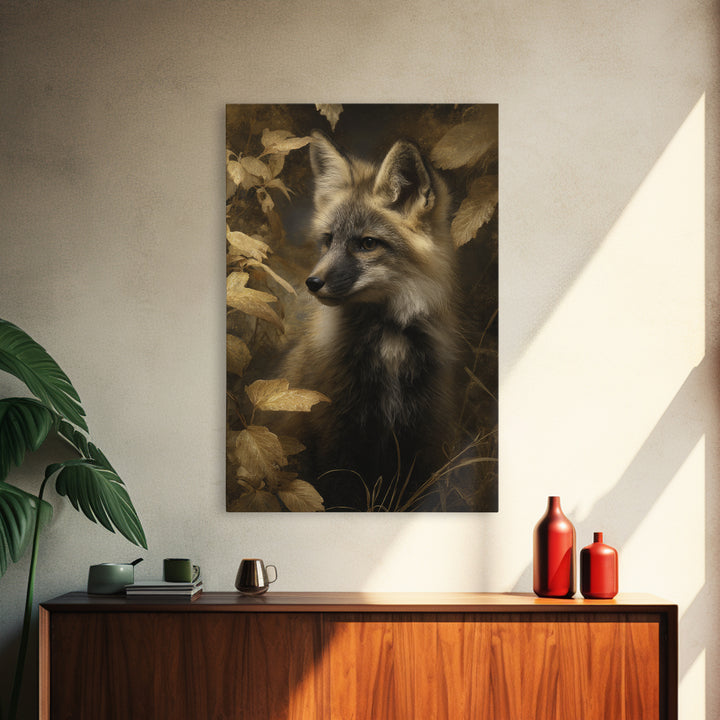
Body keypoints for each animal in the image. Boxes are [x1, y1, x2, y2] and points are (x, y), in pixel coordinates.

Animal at [283, 131, 460, 510]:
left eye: (367, 243)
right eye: (328, 240)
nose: (312, 282)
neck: (389, 342)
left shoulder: (418, 443)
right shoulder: (336, 438)